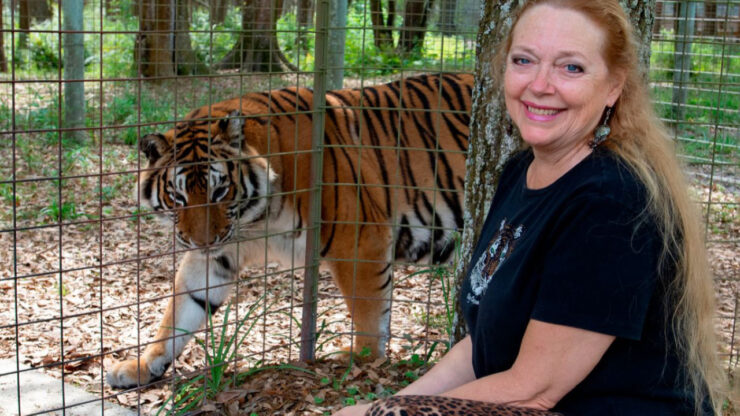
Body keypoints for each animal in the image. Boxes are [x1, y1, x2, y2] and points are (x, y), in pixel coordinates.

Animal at [105, 73, 474, 388]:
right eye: (179, 197)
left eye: (219, 191)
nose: (203, 241)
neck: (255, 218)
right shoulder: (218, 254)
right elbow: (180, 310)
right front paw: (141, 365)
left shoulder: (359, 239)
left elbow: (369, 312)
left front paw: (362, 359)